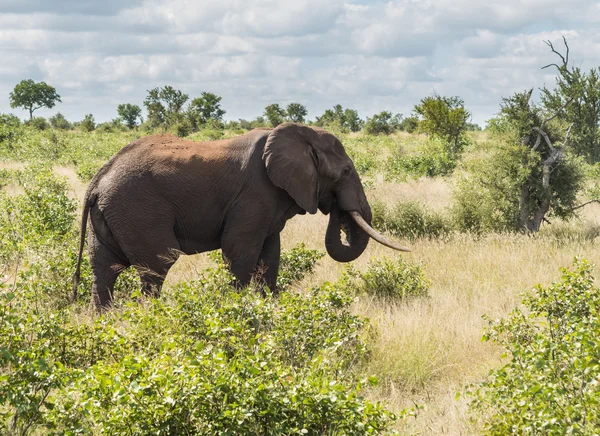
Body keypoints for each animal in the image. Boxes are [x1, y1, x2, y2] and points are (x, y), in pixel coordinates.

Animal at [70, 121, 408, 308]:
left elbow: (270, 255)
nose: (337, 209)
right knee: (156, 267)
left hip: (112, 215)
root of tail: (97, 181)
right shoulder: (255, 193)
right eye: (347, 171)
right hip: (138, 211)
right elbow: (239, 251)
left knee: (104, 269)